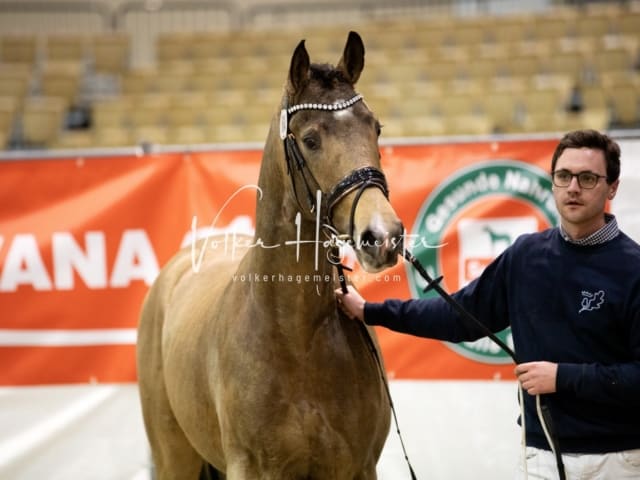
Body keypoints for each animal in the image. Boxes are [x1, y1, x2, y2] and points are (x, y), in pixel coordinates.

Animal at [137, 31, 402, 480]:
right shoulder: (252, 468)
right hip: (174, 456)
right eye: (310, 139)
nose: (383, 236)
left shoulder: (357, 469)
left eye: (376, 128)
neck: (297, 338)